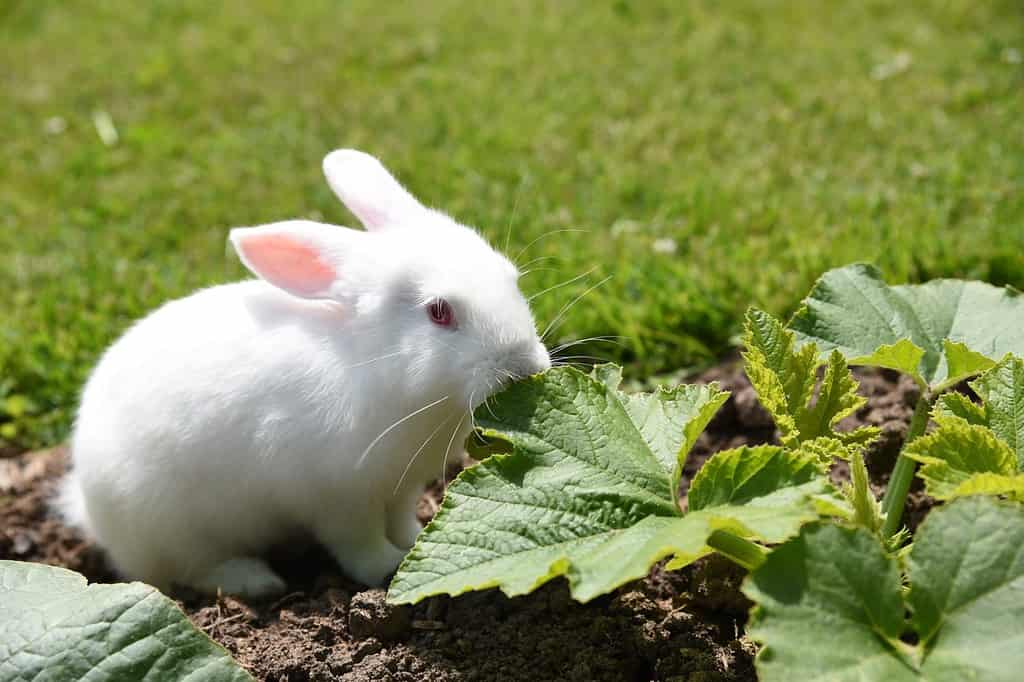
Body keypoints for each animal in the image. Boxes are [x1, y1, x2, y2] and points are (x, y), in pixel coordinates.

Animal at [58, 150, 552, 593]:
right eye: (439, 311)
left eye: (510, 277)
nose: (525, 367)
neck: (378, 366)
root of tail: (87, 503)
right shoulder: (338, 501)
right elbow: (359, 546)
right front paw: (387, 568)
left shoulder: (401, 489)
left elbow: (401, 521)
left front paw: (415, 541)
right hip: (177, 529)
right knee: (192, 571)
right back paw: (257, 582)